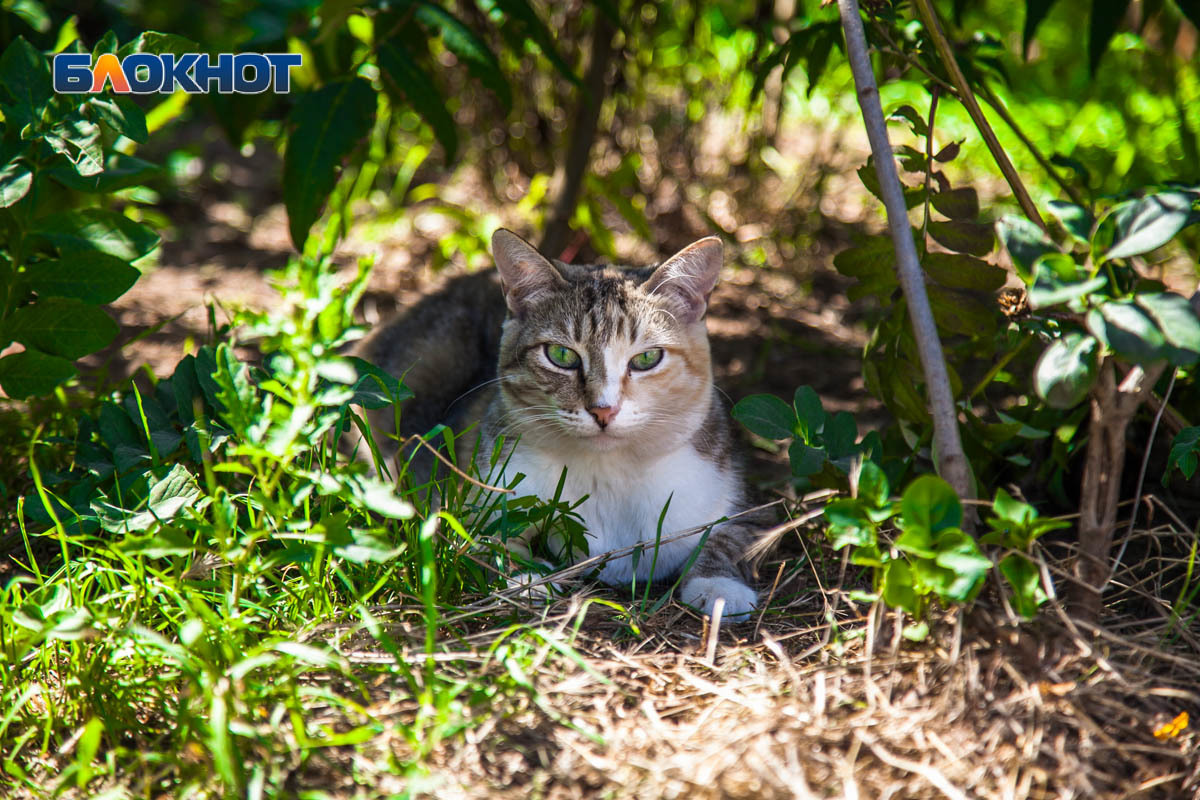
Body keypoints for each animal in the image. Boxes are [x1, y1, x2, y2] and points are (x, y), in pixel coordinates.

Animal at [352, 231, 768, 618]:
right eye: (561, 355)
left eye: (647, 358)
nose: (604, 409)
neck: (608, 471)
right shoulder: (467, 497)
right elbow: (482, 539)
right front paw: (524, 577)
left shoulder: (738, 500)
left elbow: (728, 538)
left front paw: (720, 586)